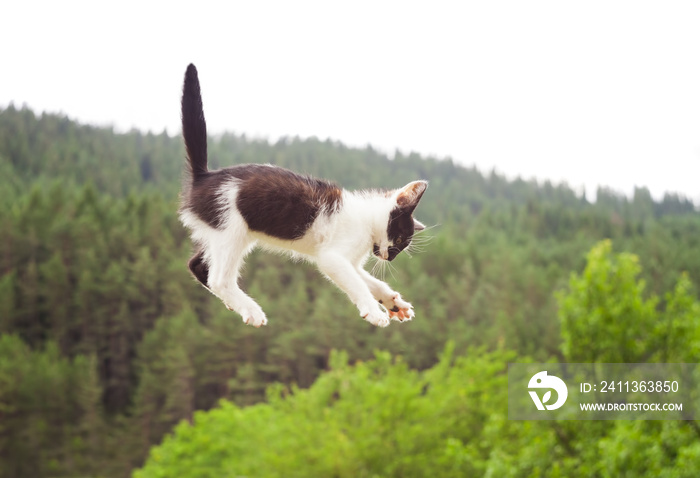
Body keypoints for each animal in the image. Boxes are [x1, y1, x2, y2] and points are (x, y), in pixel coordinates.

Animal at [178, 64, 426, 328]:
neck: (367, 218)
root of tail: (204, 176)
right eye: (399, 239)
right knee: (218, 278)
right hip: (230, 229)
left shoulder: (347, 260)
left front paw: (393, 302)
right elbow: (358, 283)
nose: (391, 258)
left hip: (220, 232)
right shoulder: (332, 257)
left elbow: (370, 281)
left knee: (198, 266)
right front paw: (374, 311)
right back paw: (250, 309)